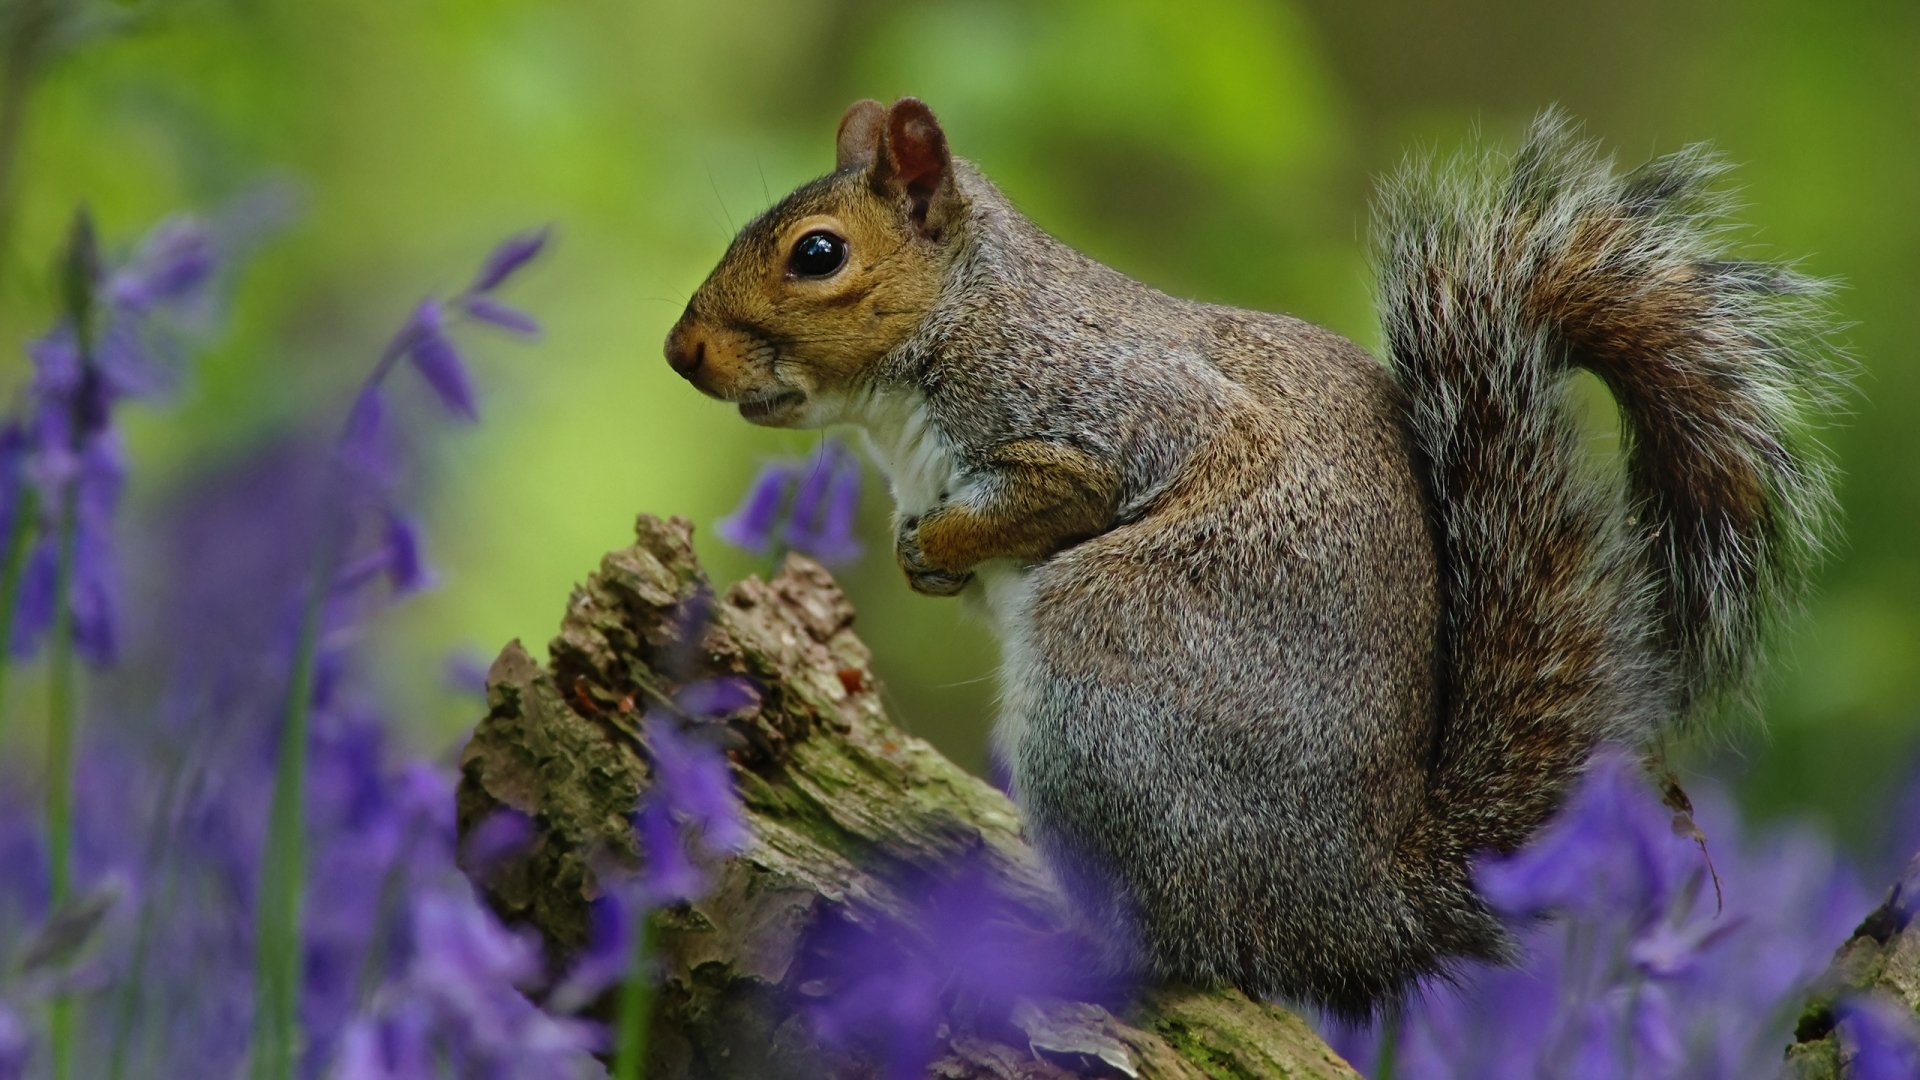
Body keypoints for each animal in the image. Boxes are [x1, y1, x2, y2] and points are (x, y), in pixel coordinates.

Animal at [663, 98, 1845, 1016]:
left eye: (818, 254)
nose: (682, 353)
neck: (950, 329)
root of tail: (1363, 902)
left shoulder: (1101, 414)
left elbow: (1061, 493)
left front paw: (946, 539)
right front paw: (924, 560)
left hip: (1109, 669)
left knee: (1180, 946)